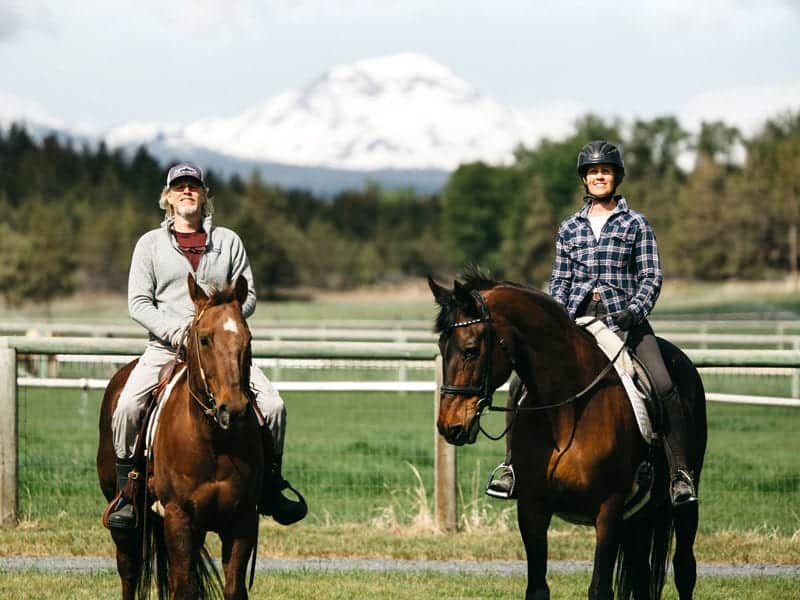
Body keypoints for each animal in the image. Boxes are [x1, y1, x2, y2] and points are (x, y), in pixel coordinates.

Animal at [95, 274, 260, 600]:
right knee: (129, 570)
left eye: (248, 340)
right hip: (126, 521)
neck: (213, 443)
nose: (233, 408)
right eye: (205, 338)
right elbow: (183, 588)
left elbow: (232, 588)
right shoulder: (178, 516)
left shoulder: (242, 519)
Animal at [432, 274, 708, 600]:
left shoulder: (609, 510)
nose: (449, 426)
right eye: (441, 346)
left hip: (681, 506)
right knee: (641, 574)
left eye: (470, 350)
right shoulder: (532, 508)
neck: (566, 413)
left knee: (684, 568)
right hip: (636, 519)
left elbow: (600, 589)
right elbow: (537, 588)